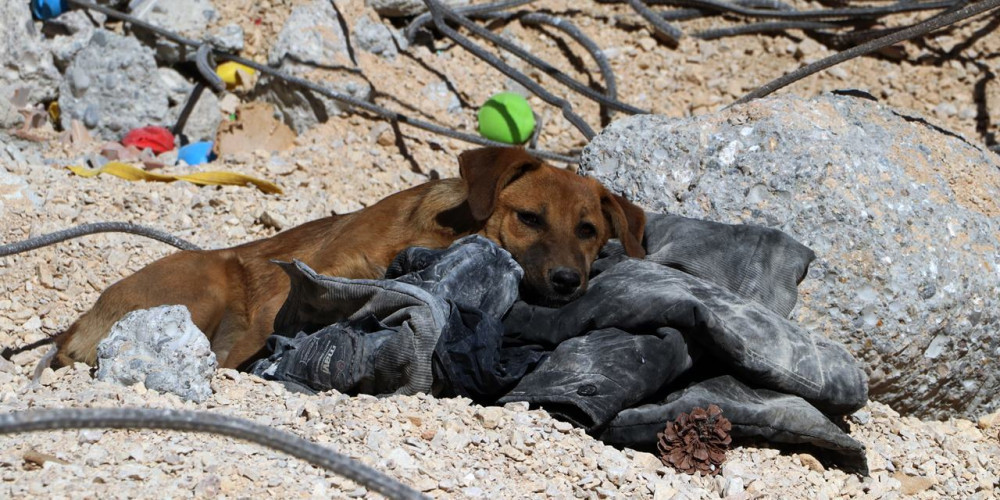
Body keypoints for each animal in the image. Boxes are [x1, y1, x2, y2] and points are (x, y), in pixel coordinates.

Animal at [52, 146, 648, 370]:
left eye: (588, 230)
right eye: (529, 218)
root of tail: (78, 325)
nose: (568, 280)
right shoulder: (298, 286)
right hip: (206, 282)